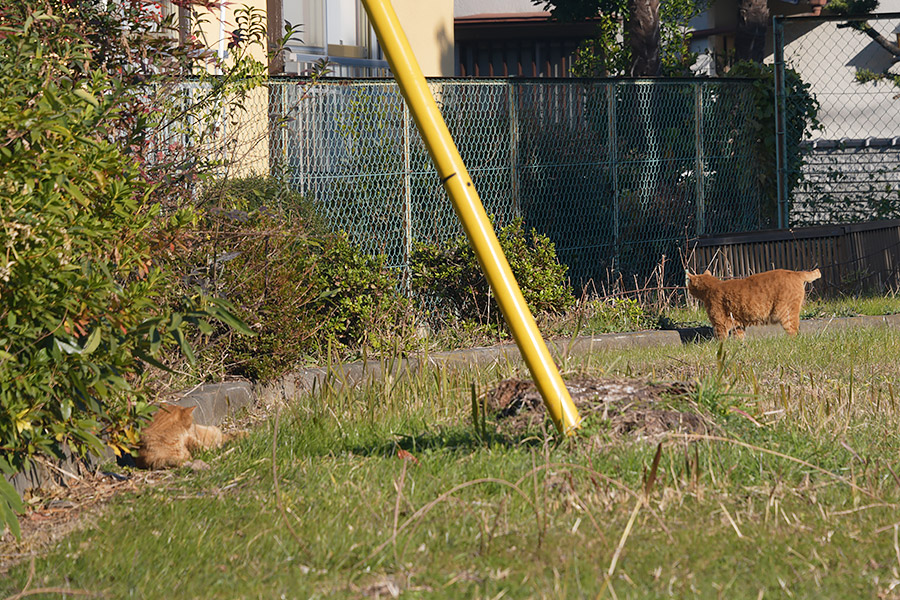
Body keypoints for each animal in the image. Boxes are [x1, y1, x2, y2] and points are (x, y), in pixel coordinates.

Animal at [684, 268, 820, 340]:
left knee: (794, 333)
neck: (713, 286)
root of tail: (795, 272)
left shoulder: (719, 324)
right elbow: (739, 338)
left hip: (786, 314)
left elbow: (721, 340)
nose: (687, 287)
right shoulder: (738, 325)